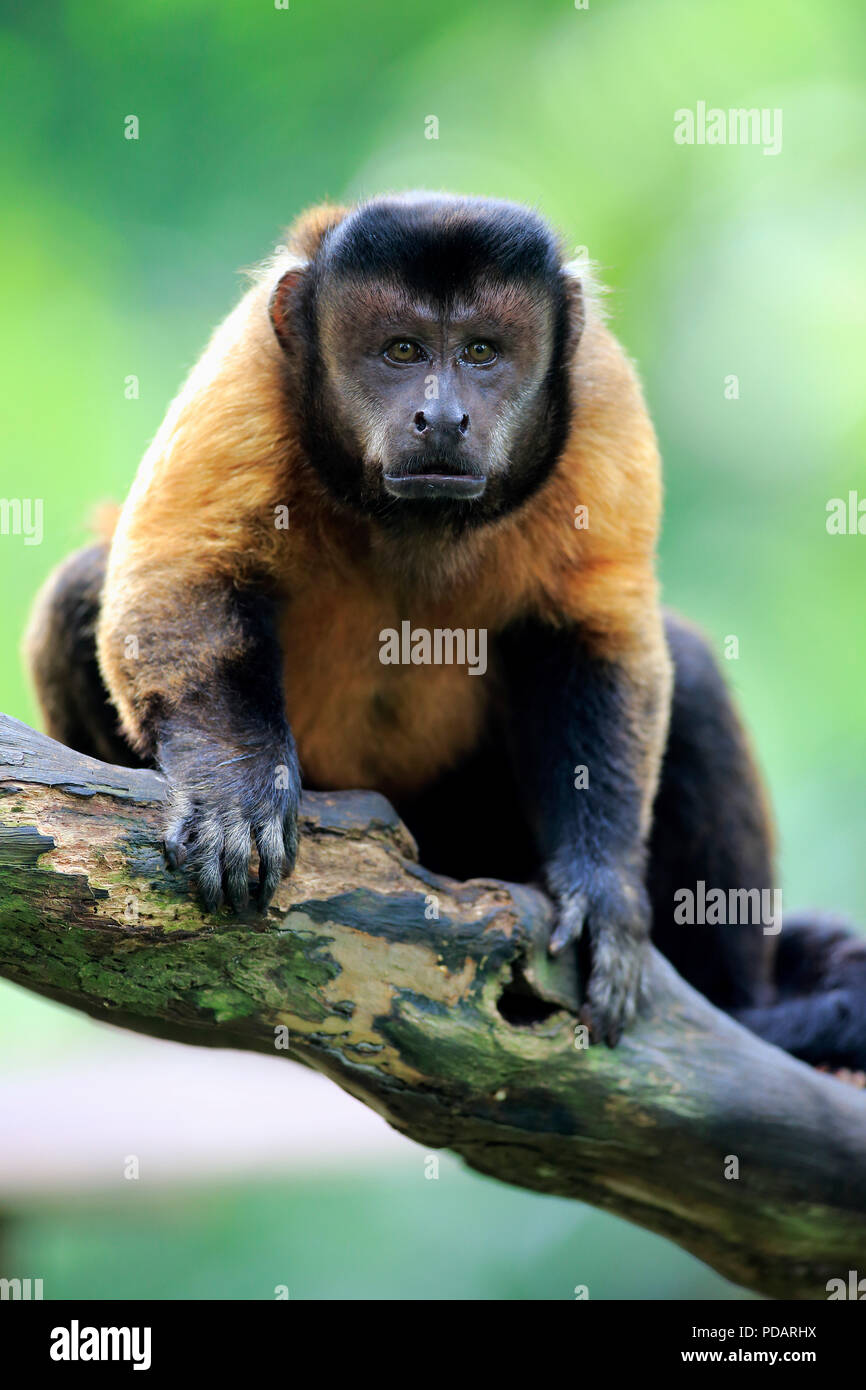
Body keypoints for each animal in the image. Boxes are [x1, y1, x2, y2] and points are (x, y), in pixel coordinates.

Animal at [23, 195, 866, 1061]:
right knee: (78, 591)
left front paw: (603, 889)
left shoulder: (602, 391)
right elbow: (178, 574)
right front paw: (235, 789)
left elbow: (597, 636)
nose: (443, 416)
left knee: (688, 671)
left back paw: (752, 1012)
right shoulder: (249, 367)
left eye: (482, 352)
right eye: (401, 350)